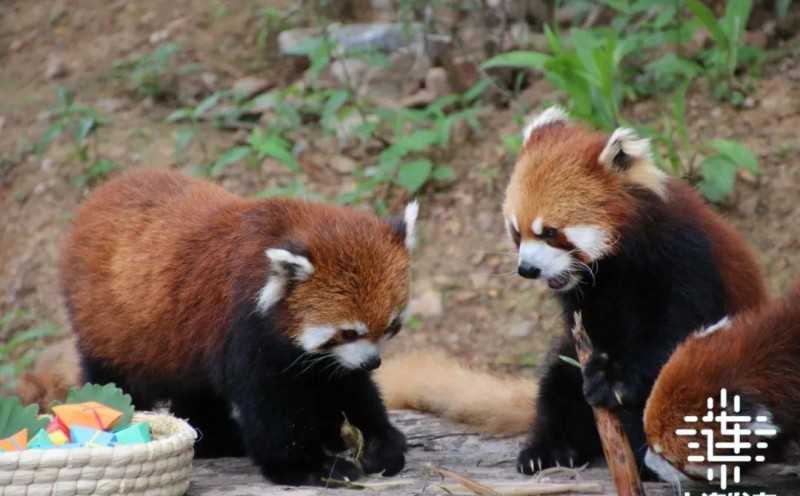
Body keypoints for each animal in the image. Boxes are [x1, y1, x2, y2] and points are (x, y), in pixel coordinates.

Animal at [62, 170, 418, 484]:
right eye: (348, 332)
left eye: (392, 326)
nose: (373, 362)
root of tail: (101, 193)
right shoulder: (245, 330)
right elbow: (272, 409)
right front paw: (311, 467)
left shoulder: (322, 358)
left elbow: (346, 386)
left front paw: (380, 442)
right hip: (112, 328)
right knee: (114, 378)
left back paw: (214, 440)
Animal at [504, 107, 764, 476]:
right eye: (517, 231)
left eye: (550, 232)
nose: (527, 269)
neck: (616, 265)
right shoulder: (589, 299)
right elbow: (588, 338)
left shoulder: (686, 260)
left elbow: (675, 333)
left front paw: (614, 380)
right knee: (559, 379)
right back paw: (550, 448)